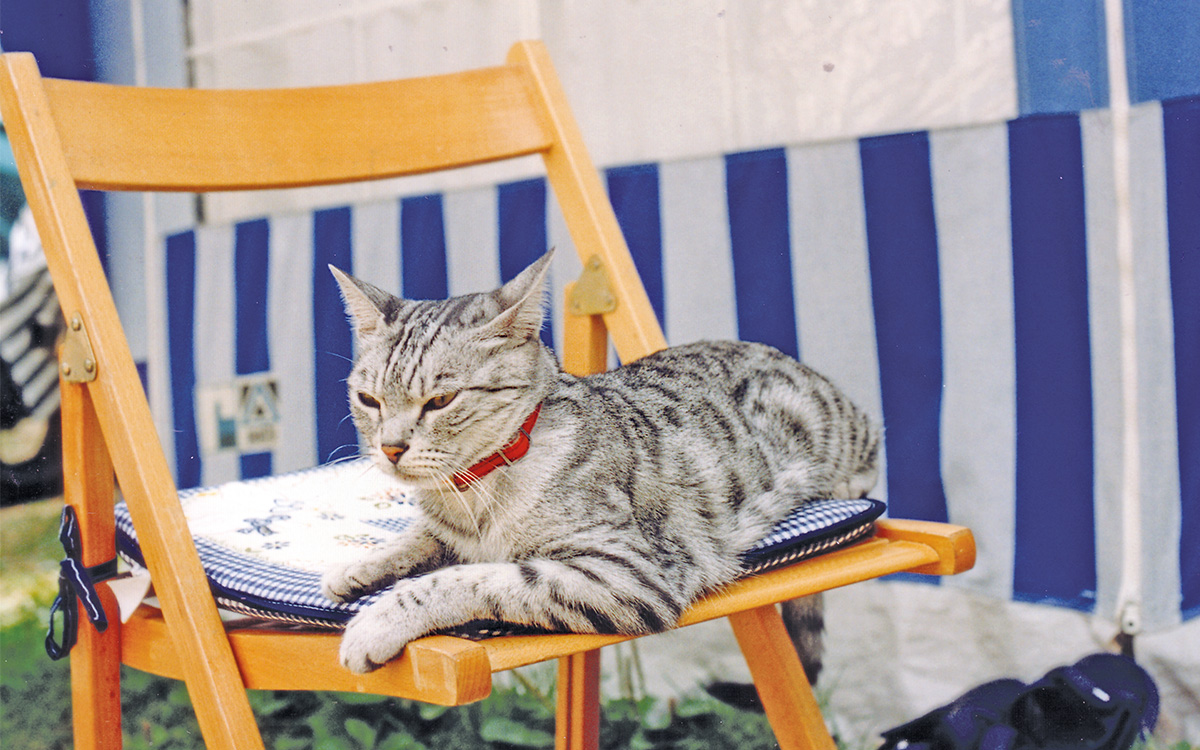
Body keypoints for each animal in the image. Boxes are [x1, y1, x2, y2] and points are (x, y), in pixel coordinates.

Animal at [324, 249, 878, 672]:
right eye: (369, 400)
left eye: (440, 401)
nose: (391, 448)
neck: (474, 491)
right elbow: (419, 538)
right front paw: (359, 566)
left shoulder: (625, 572)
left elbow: (471, 578)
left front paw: (378, 621)